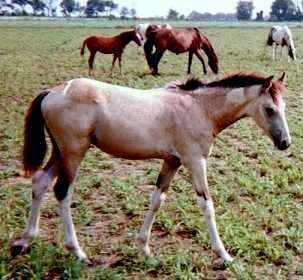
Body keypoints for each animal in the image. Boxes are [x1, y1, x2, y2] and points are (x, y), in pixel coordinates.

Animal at [12, 71, 292, 264]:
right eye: (269, 109)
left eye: (284, 107)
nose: (285, 143)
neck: (200, 108)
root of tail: (54, 91)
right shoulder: (194, 160)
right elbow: (206, 205)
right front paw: (223, 254)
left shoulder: (172, 161)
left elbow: (157, 200)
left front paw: (144, 247)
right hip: (73, 152)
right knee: (62, 191)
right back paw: (77, 252)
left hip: (60, 152)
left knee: (40, 181)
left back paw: (25, 240)